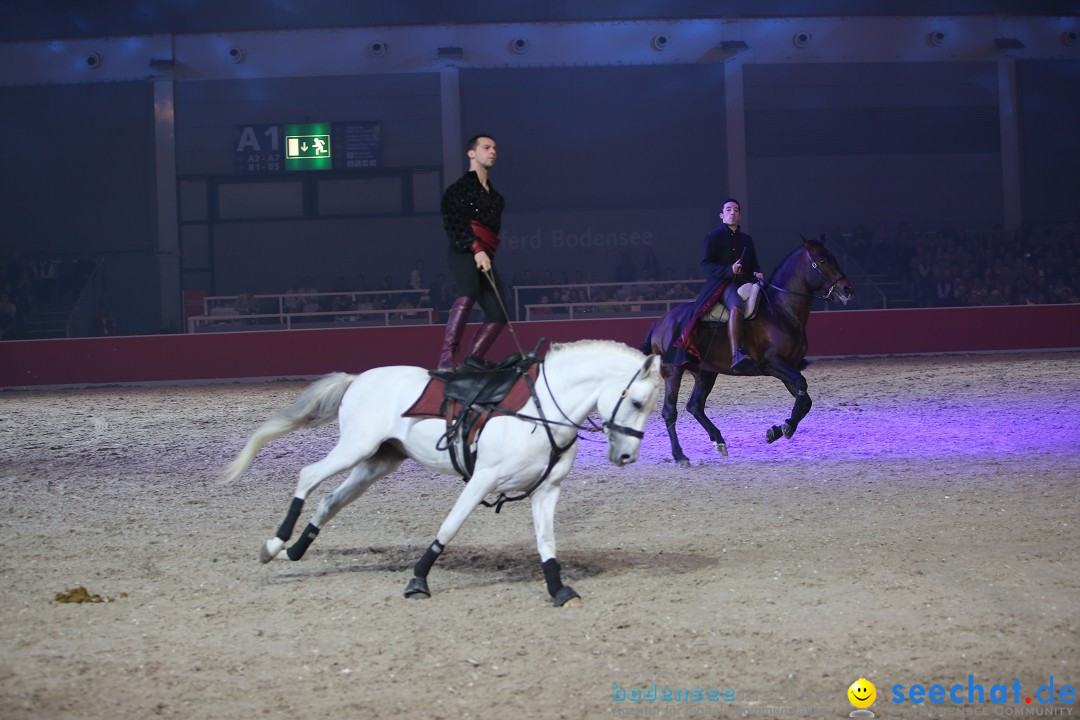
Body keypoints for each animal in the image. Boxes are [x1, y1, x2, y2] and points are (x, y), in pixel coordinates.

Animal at [221, 341, 656, 604]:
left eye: (650, 404)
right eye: (636, 401)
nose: (627, 456)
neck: (539, 410)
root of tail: (358, 379)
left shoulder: (546, 490)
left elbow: (546, 542)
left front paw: (559, 589)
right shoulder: (483, 480)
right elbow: (449, 527)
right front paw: (418, 580)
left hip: (378, 461)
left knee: (330, 500)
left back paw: (294, 550)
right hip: (355, 448)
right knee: (308, 477)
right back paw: (274, 545)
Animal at [639, 236, 851, 468]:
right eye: (821, 261)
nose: (847, 290)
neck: (781, 312)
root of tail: (661, 321)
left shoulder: (788, 368)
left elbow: (805, 400)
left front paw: (779, 429)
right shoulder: (773, 363)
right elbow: (802, 388)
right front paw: (783, 427)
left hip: (705, 373)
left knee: (695, 406)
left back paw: (719, 441)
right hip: (673, 371)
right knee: (670, 411)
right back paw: (680, 456)